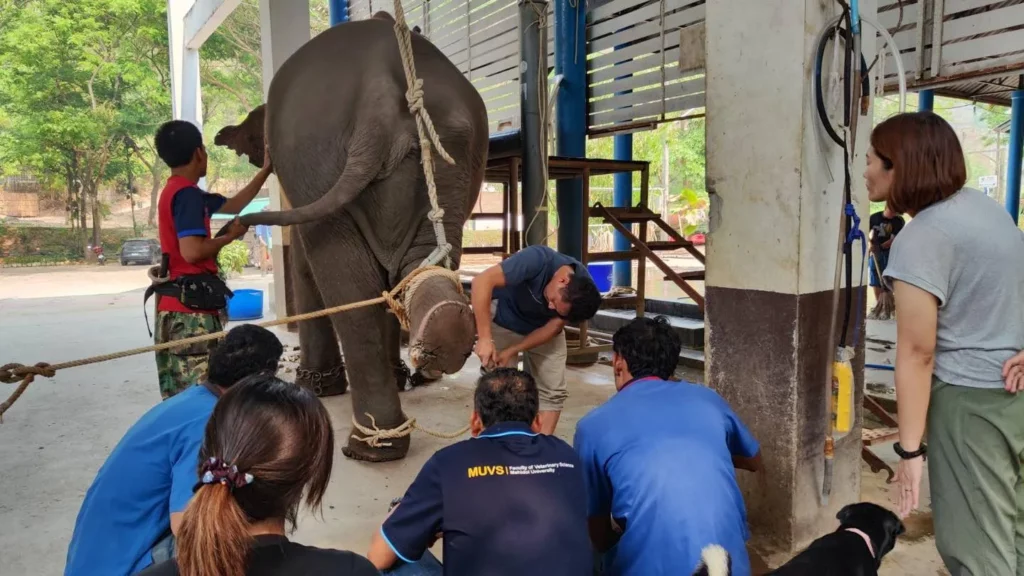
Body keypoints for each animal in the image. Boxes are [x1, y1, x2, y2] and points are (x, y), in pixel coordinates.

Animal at [215, 15, 487, 459]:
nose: (230, 227)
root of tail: (379, 99)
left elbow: (305, 268)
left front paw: (318, 387)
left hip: (314, 161)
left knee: (345, 287)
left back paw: (367, 445)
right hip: (456, 158)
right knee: (414, 267)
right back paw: (440, 342)